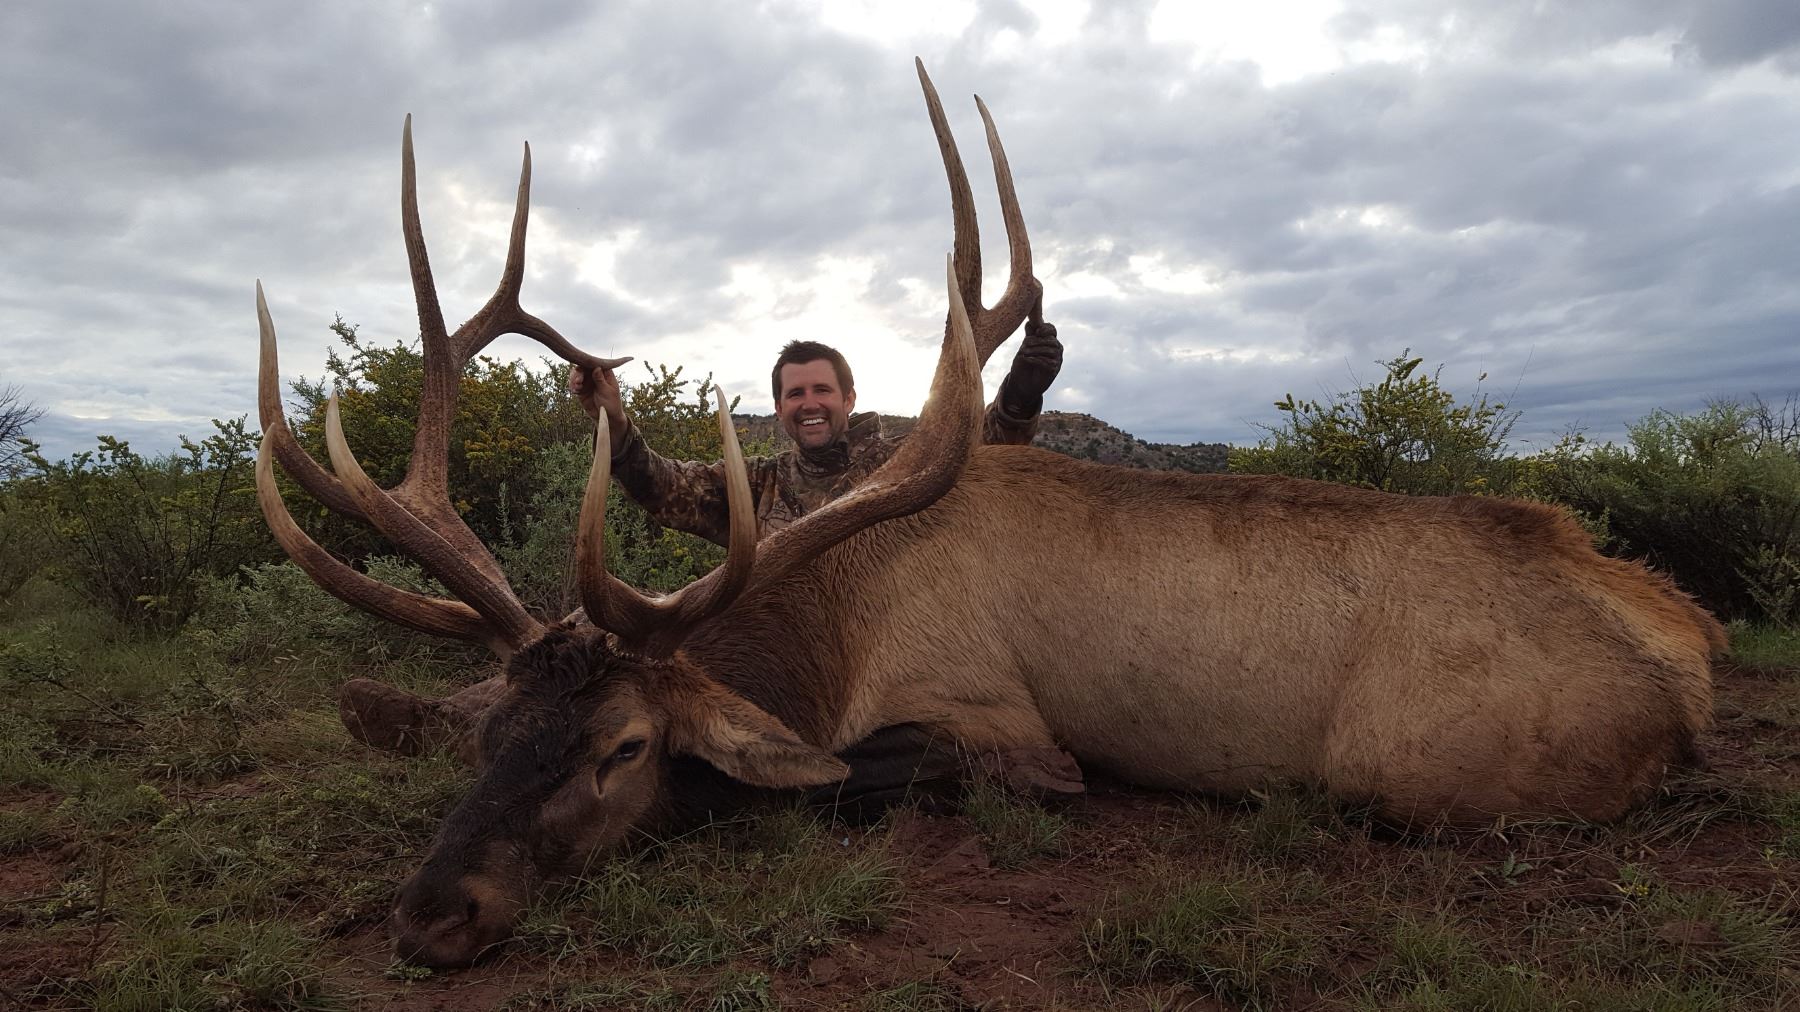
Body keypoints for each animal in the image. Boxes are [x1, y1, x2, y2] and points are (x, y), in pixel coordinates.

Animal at [253, 63, 1723, 968]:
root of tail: (1688, 658)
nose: (434, 915)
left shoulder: (997, 721)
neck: (832, 625)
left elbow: (854, 776)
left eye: (623, 746)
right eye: (492, 732)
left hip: (1415, 764)